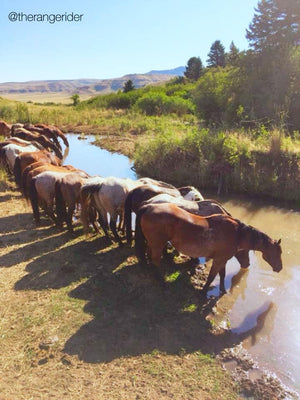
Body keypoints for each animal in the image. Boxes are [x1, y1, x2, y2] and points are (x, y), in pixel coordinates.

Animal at [135, 205, 282, 296]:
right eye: (277, 252)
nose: (279, 268)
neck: (237, 234)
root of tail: (148, 207)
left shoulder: (222, 260)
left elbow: (222, 275)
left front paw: (222, 290)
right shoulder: (219, 260)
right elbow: (212, 276)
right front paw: (203, 292)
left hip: (153, 243)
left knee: (149, 255)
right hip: (158, 244)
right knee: (155, 261)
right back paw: (161, 282)